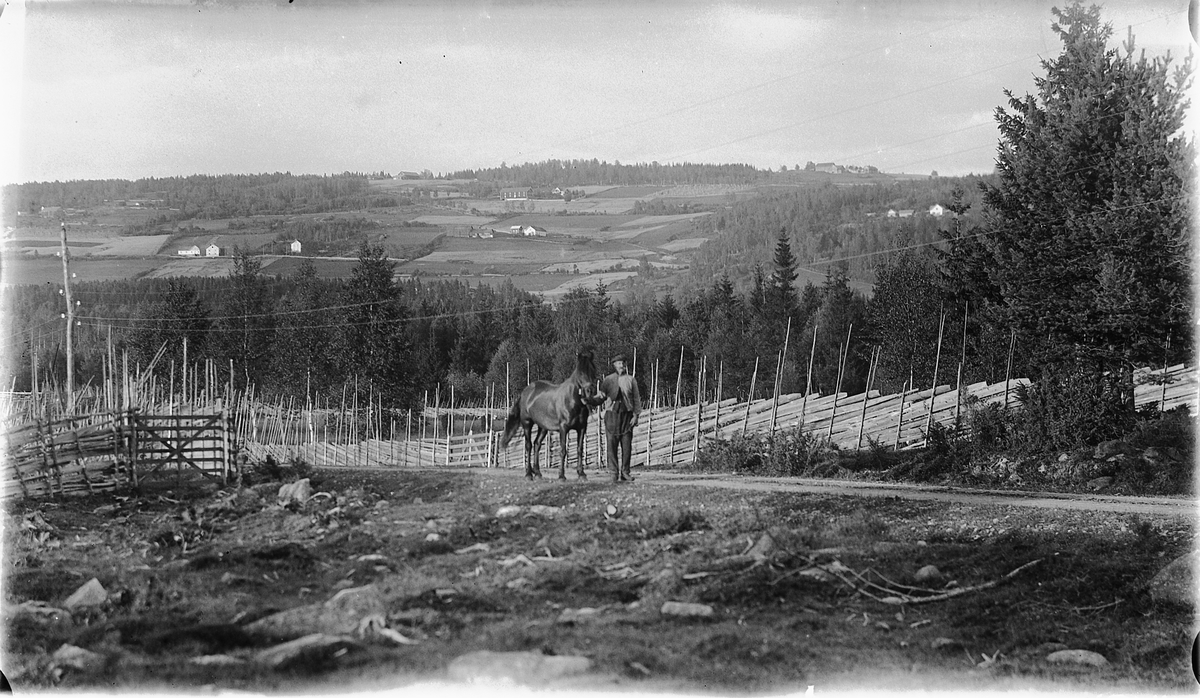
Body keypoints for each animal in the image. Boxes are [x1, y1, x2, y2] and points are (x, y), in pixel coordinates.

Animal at [499, 347, 604, 482]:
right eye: (580, 373)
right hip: (527, 423)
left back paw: (538, 473)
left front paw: (582, 474)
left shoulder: (582, 428)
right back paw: (528, 474)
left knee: (537, 444)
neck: (573, 400)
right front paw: (561, 476)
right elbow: (563, 450)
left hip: (543, 427)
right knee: (528, 446)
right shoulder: (563, 428)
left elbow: (580, 450)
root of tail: (525, 391)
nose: (590, 391)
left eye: (593, 370)